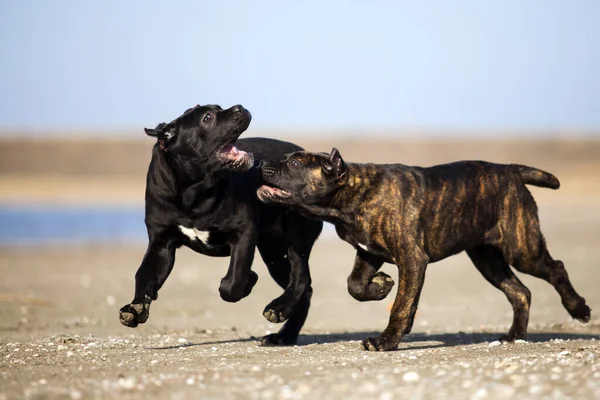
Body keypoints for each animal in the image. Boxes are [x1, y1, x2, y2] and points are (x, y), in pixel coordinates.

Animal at [119, 104, 322, 346]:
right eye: (207, 118)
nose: (239, 107)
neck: (193, 192)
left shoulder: (243, 232)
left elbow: (233, 282)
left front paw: (247, 281)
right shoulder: (161, 245)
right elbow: (144, 275)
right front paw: (134, 308)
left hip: (294, 238)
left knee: (301, 279)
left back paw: (278, 312)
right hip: (275, 255)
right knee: (304, 289)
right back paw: (284, 335)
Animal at [258, 148, 592, 352]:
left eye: (295, 164)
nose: (262, 163)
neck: (351, 197)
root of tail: (510, 171)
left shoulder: (412, 259)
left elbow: (402, 304)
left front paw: (386, 340)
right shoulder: (369, 252)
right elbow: (355, 284)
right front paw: (381, 285)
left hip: (521, 250)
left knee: (556, 269)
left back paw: (578, 308)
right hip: (487, 260)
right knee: (520, 292)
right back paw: (514, 336)